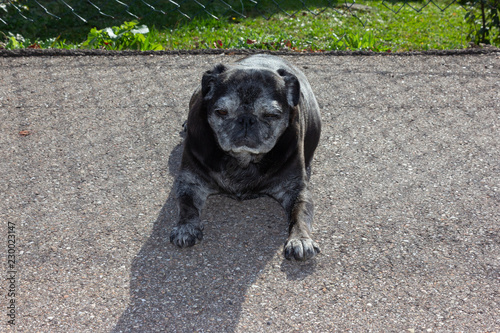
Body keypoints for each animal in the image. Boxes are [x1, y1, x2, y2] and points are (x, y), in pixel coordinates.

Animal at [170, 53, 322, 260]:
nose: (246, 119)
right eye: (221, 112)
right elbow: (187, 207)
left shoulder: (296, 190)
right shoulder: (189, 183)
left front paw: (300, 239)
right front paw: (186, 228)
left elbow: (300, 215)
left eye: (271, 115)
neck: (242, 160)